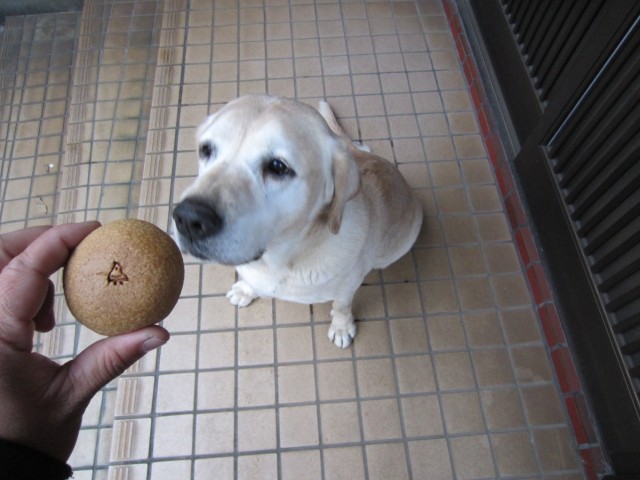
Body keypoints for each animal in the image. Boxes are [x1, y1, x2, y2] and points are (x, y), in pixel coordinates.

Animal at [175, 95, 422, 346]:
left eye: (277, 166)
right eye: (206, 149)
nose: (188, 219)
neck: (280, 262)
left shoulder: (348, 286)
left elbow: (342, 305)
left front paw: (342, 327)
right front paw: (245, 289)